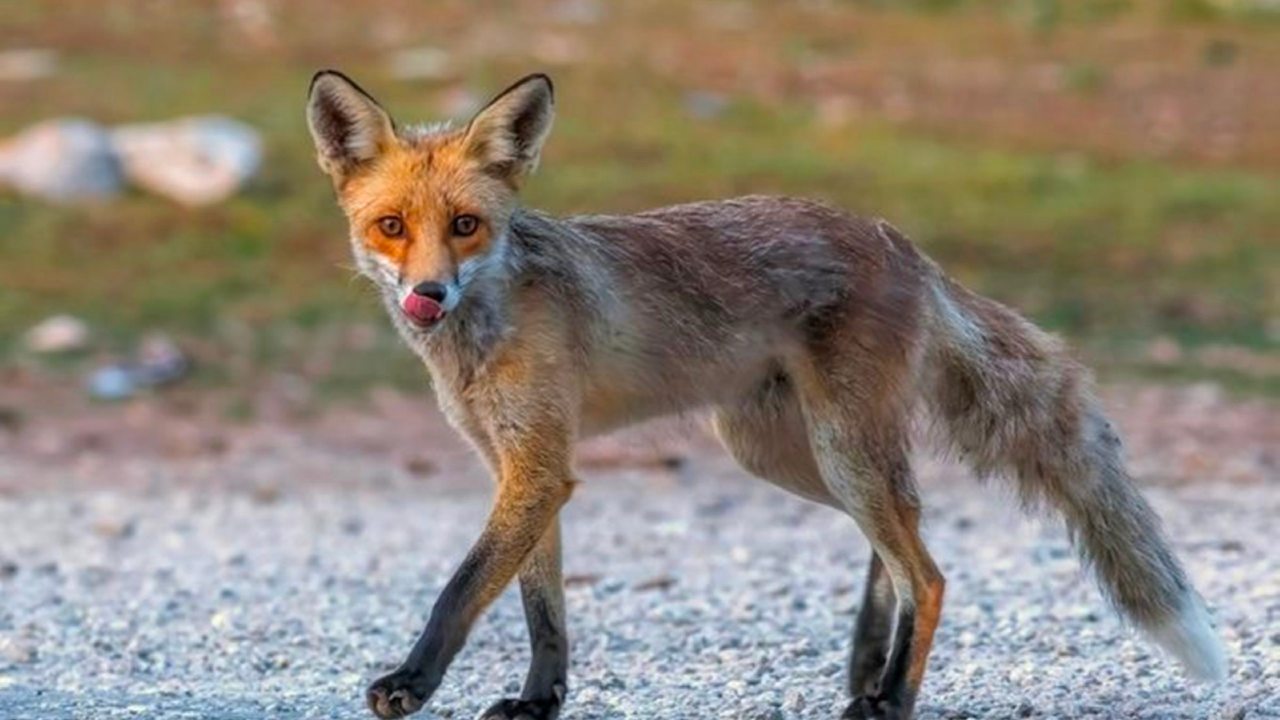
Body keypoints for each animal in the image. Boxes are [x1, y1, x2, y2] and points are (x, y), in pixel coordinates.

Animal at [307, 68, 1228, 717]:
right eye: (392, 227)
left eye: (466, 226)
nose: (428, 295)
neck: (482, 334)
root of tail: (903, 244)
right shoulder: (518, 466)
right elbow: (542, 609)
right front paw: (540, 703)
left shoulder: (538, 466)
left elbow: (463, 589)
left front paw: (412, 683)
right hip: (784, 452)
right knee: (903, 536)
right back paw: (869, 668)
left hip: (837, 447)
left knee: (928, 572)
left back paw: (892, 698)